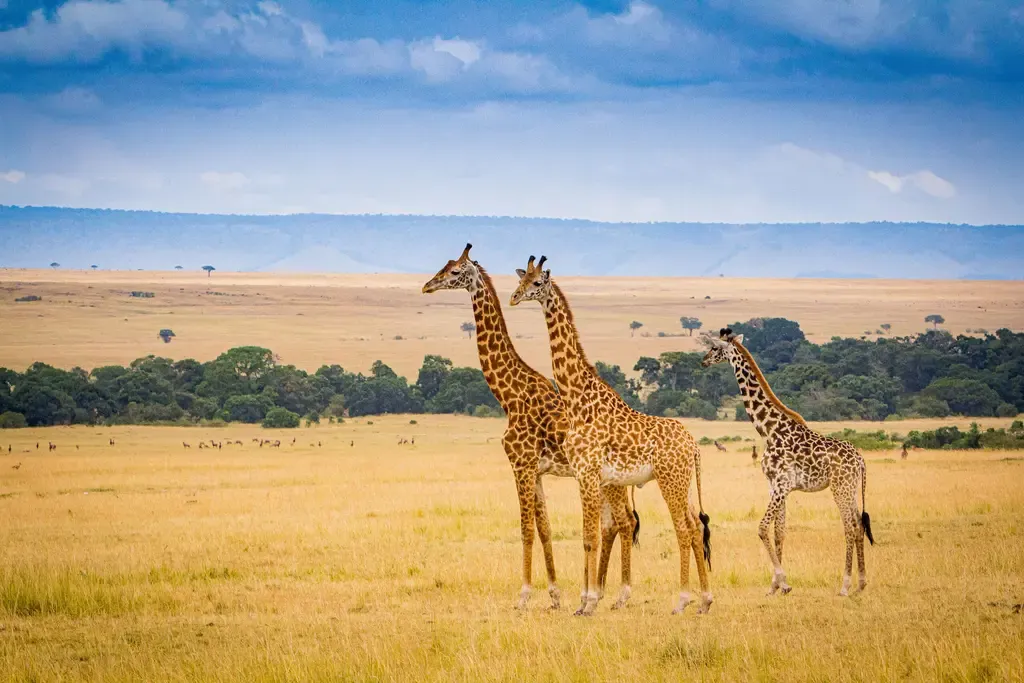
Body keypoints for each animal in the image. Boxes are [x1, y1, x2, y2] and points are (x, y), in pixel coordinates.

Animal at [422, 244, 639, 611]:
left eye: (454, 272)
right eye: (444, 266)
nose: (427, 286)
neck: (509, 396)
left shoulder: (520, 464)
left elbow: (525, 529)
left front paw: (524, 596)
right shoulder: (535, 471)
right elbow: (545, 529)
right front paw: (554, 595)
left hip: (608, 481)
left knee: (622, 522)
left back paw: (616, 594)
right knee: (616, 523)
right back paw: (604, 592)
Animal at [510, 255, 712, 616]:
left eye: (537, 283)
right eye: (521, 278)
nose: (515, 297)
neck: (577, 398)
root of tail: (693, 446)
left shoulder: (588, 474)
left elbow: (590, 536)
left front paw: (588, 603)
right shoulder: (589, 476)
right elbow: (591, 534)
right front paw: (587, 601)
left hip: (670, 481)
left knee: (683, 529)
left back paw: (682, 600)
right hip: (684, 482)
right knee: (694, 525)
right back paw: (704, 600)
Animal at [701, 327, 875, 596]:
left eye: (715, 348)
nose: (703, 361)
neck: (769, 430)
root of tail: (860, 459)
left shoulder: (782, 484)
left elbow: (762, 528)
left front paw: (783, 581)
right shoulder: (775, 486)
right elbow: (779, 531)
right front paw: (775, 587)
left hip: (840, 488)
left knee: (850, 526)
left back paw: (845, 585)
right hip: (851, 488)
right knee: (859, 524)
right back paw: (861, 583)